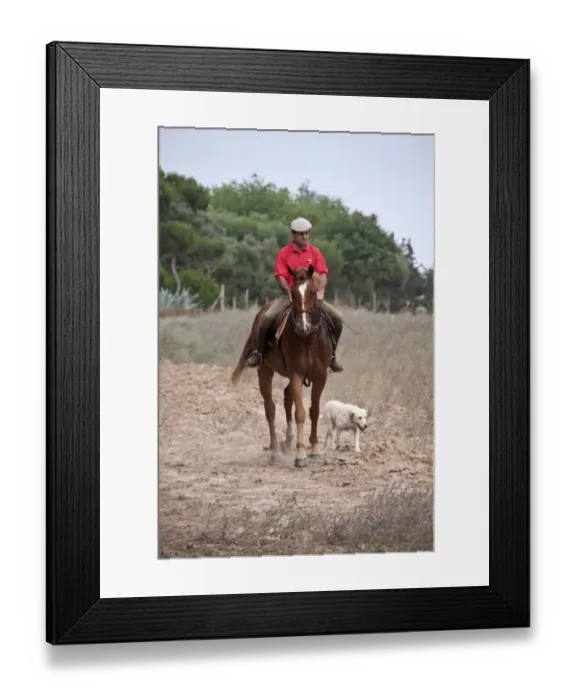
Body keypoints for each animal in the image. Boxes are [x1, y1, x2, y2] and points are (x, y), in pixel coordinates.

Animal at [231, 264, 334, 468]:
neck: (308, 339)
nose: (303, 327)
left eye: (312, 291)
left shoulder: (320, 376)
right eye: (292, 292)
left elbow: (315, 411)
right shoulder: (296, 374)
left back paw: (287, 442)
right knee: (270, 408)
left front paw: (315, 449)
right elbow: (300, 413)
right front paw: (300, 455)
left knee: (286, 398)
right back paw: (276, 451)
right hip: (264, 371)